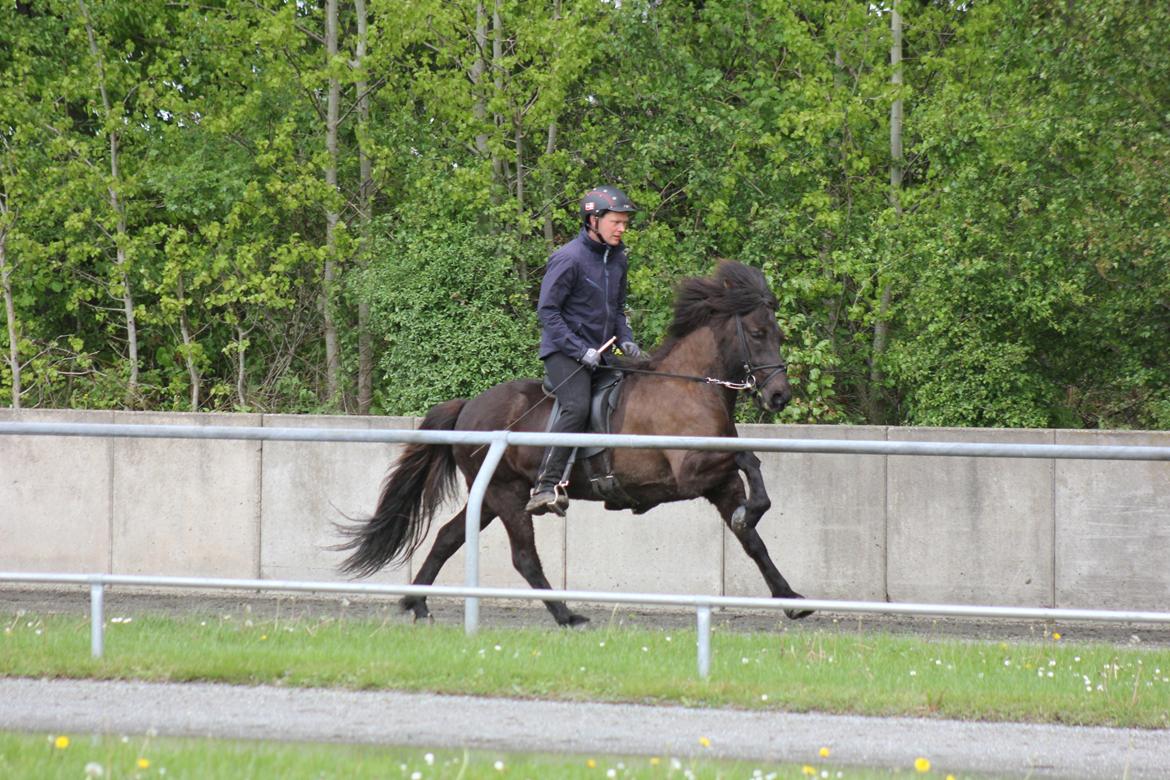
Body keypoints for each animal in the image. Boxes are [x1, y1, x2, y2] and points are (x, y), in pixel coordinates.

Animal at [339, 261, 809, 626]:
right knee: (523, 557)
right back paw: (566, 615)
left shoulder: (719, 485)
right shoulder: (691, 472)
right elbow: (748, 458)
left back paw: (417, 603)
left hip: (490, 496)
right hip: (507, 494)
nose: (779, 395)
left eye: (779, 334)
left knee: (448, 536)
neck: (690, 386)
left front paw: (790, 598)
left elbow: (753, 539)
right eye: (757, 332)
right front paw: (756, 513)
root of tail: (469, 405)